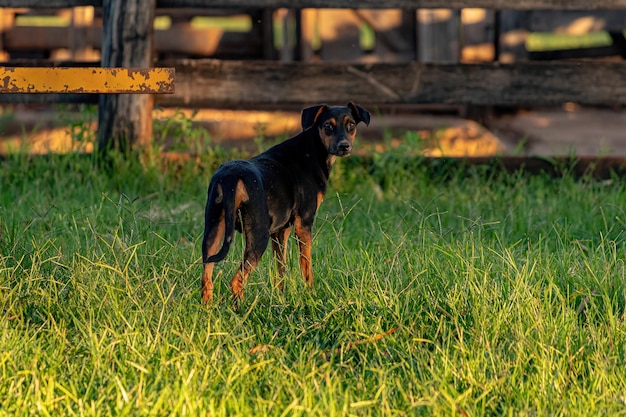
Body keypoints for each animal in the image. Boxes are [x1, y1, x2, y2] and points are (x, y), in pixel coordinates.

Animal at [200, 101, 368, 302]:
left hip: (213, 232)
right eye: (328, 126)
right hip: (258, 235)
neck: (312, 150)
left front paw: (281, 299)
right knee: (236, 280)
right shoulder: (303, 224)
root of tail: (232, 178)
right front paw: (311, 296)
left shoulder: (281, 230)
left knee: (206, 280)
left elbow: (280, 270)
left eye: (351, 125)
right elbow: (306, 267)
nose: (344, 146)